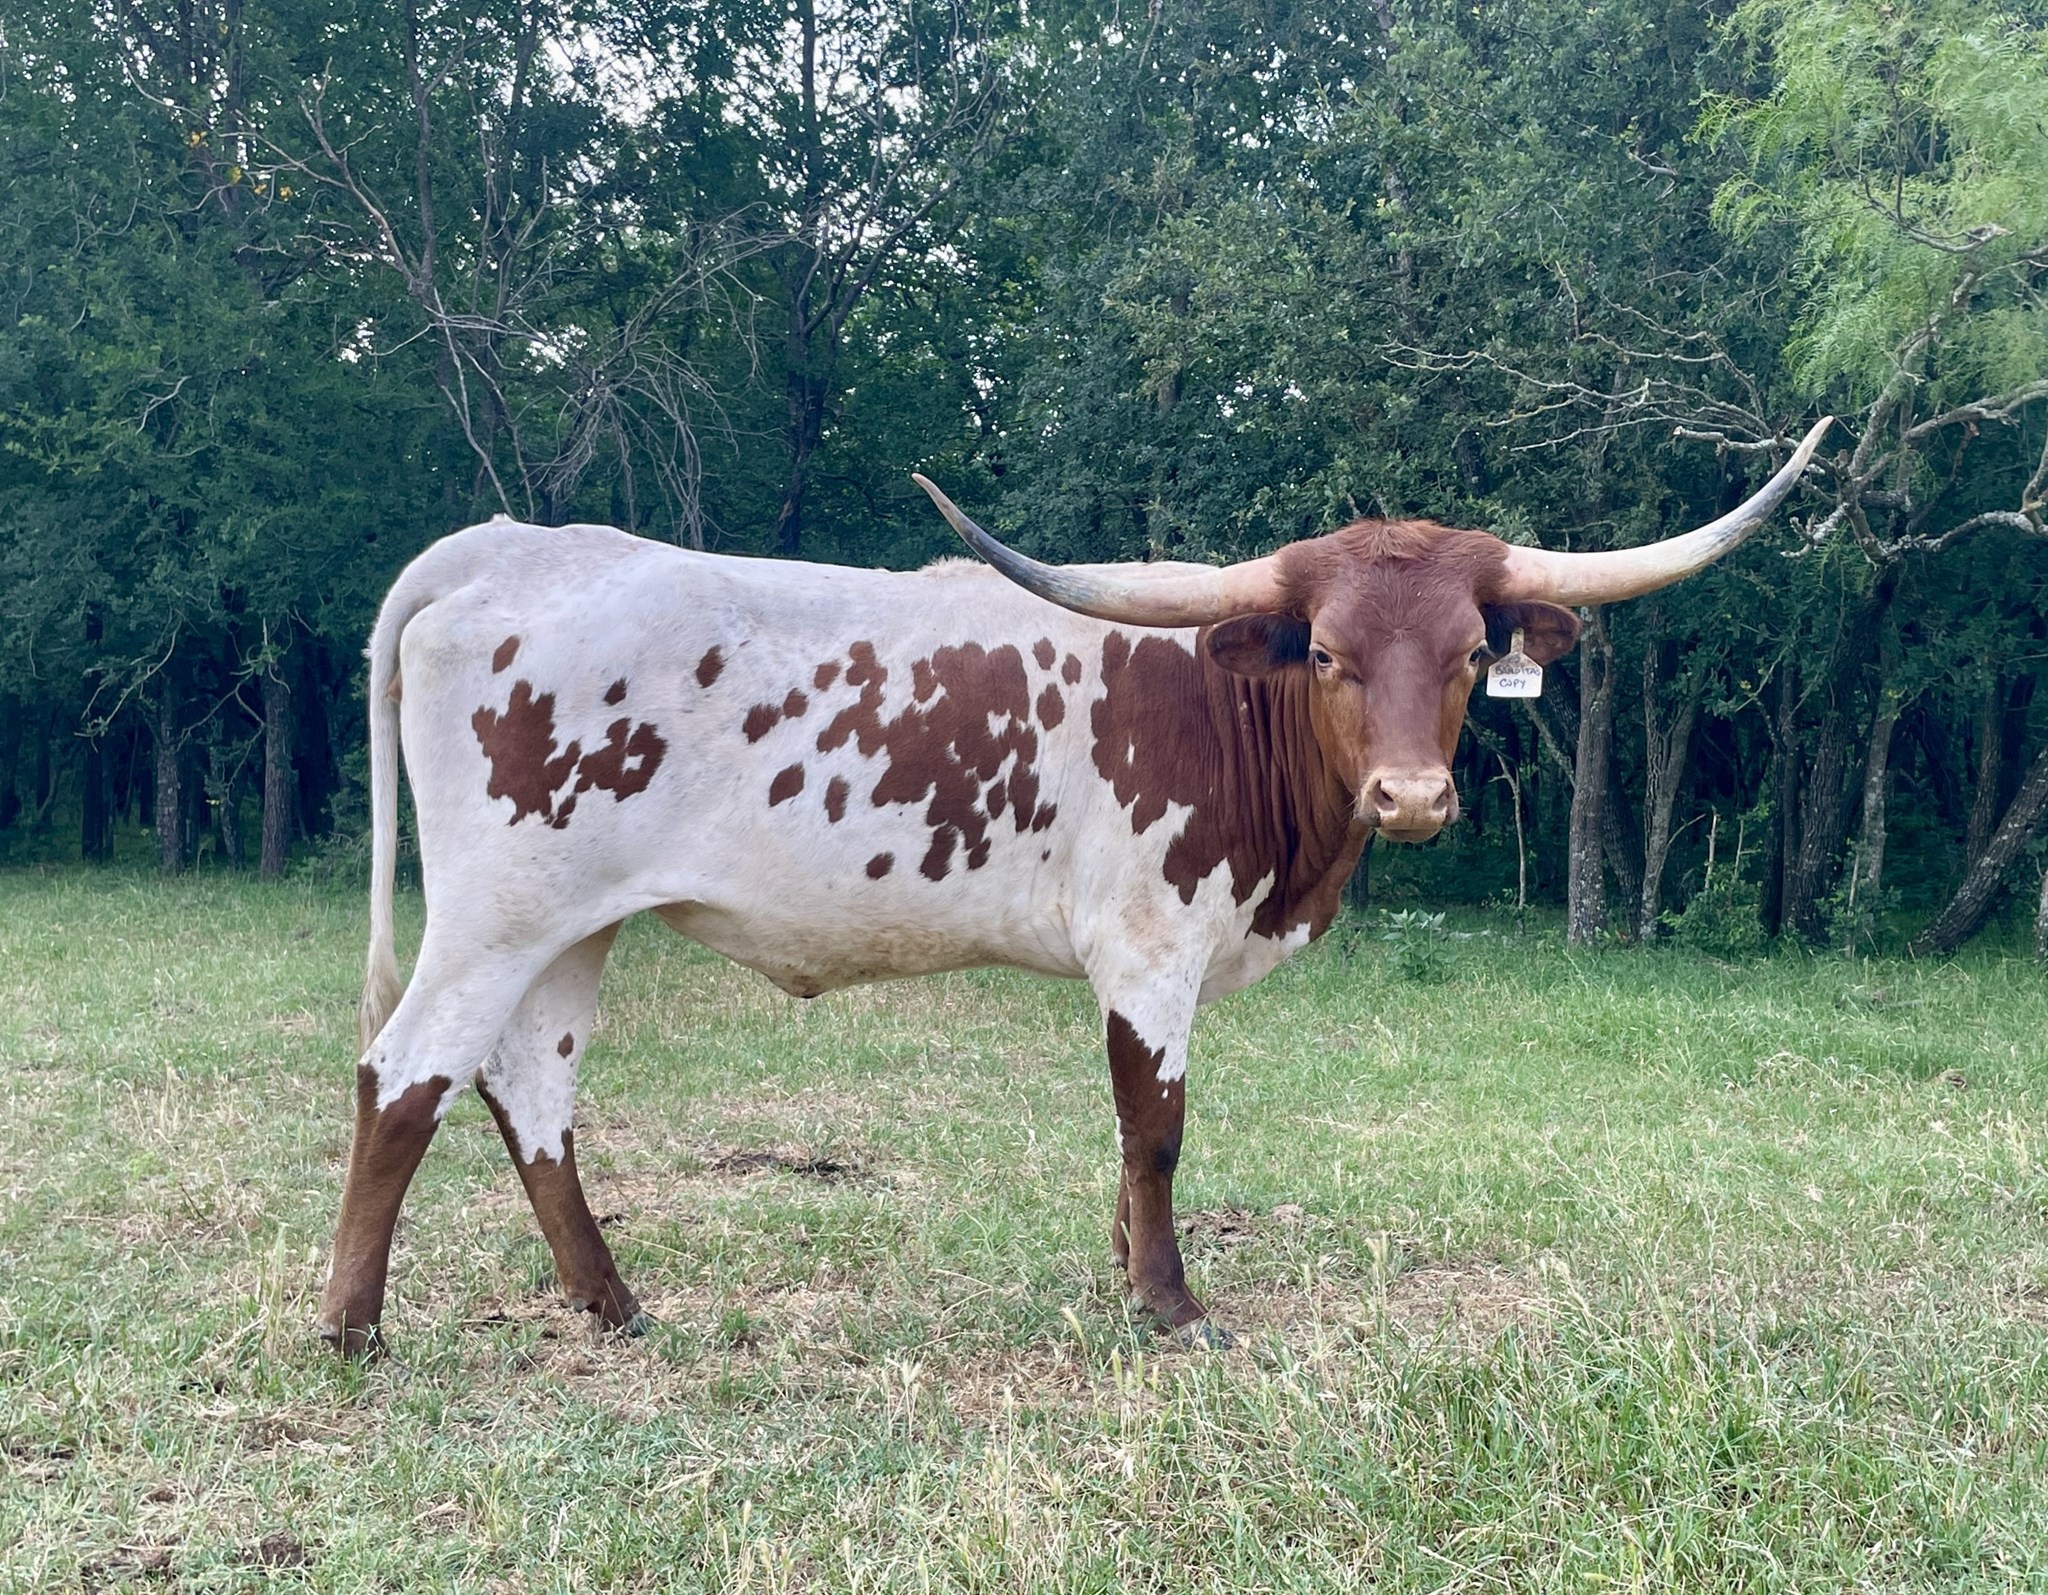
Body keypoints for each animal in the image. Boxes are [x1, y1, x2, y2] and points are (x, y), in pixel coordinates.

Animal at [318, 419, 1831, 1354]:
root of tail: (502, 546)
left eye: (1467, 652)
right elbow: (1155, 1126)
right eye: (1327, 653)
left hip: (571, 926)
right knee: (404, 1074)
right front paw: (1168, 1304)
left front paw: (1123, 1270)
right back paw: (351, 1326)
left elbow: (1127, 1139)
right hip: (498, 912)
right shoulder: (1150, 945)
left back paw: (610, 1301)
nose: (1410, 797)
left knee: (530, 1085)